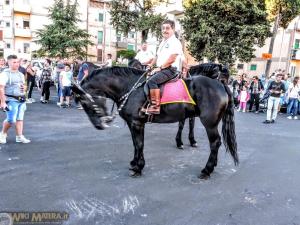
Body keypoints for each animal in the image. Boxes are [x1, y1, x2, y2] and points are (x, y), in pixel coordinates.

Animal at [71, 65, 238, 179]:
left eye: (84, 101)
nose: (99, 125)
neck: (130, 88)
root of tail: (220, 86)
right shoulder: (133, 123)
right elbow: (135, 144)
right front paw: (134, 163)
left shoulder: (137, 123)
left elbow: (139, 144)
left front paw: (139, 168)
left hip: (209, 123)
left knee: (215, 143)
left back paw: (207, 170)